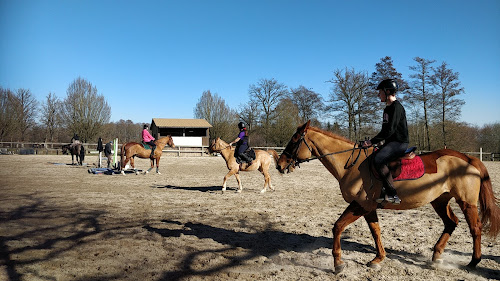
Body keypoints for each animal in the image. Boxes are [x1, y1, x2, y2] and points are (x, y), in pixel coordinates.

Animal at [276, 120, 498, 272]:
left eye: (294, 141)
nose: (279, 164)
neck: (352, 166)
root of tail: (467, 158)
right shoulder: (369, 207)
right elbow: (376, 231)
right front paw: (378, 259)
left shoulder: (361, 205)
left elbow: (337, 227)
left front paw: (338, 263)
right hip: (439, 200)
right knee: (451, 223)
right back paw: (436, 256)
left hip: (466, 202)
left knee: (475, 228)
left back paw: (473, 262)